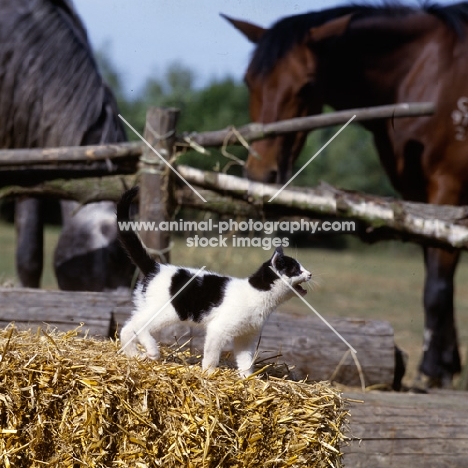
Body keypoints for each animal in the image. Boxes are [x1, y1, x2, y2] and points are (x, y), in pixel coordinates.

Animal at [119, 186, 312, 376]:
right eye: (296, 270)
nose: (310, 274)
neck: (258, 294)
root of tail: (156, 267)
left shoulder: (245, 337)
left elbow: (245, 360)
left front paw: (247, 378)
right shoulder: (218, 329)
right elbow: (212, 354)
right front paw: (209, 372)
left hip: (148, 307)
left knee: (127, 327)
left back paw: (135, 355)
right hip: (168, 312)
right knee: (140, 325)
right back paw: (152, 351)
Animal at [224, 1, 468, 386]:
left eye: (307, 85)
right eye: (249, 81)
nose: (261, 173)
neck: (427, 74)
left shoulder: (448, 188)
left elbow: (438, 286)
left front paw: (432, 370)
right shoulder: (422, 199)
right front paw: (446, 364)